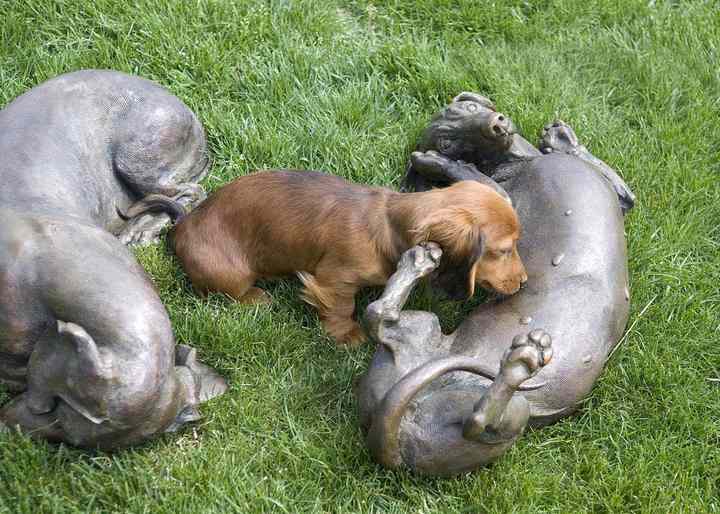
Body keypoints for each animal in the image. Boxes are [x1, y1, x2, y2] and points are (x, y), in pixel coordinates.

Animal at [172, 171, 524, 344]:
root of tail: (181, 227)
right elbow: (342, 306)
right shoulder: (334, 278)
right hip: (231, 274)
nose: (524, 281)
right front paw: (348, 334)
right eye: (504, 250)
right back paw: (256, 298)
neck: (388, 228)